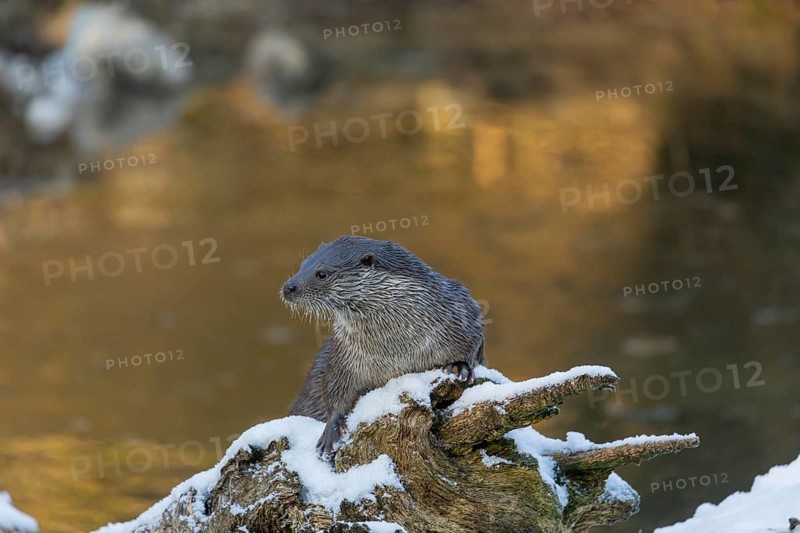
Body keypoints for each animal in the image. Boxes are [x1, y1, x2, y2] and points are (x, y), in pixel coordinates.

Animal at [281, 235, 485, 457]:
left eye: (322, 274)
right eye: (302, 266)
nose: (288, 287)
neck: (396, 350)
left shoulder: (463, 312)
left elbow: (475, 342)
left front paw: (460, 366)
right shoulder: (344, 355)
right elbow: (333, 388)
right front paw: (331, 430)